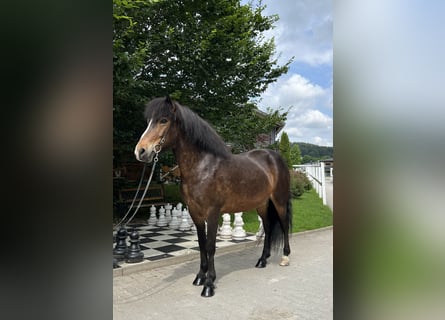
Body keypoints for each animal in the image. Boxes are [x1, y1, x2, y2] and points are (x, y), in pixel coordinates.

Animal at [133, 97, 292, 298]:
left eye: (163, 120)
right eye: (148, 121)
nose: (140, 151)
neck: (203, 167)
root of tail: (274, 157)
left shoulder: (213, 212)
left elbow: (210, 246)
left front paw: (209, 284)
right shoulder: (195, 213)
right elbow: (201, 244)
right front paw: (200, 277)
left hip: (279, 201)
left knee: (284, 225)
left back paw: (285, 257)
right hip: (262, 204)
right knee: (269, 227)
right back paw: (262, 260)